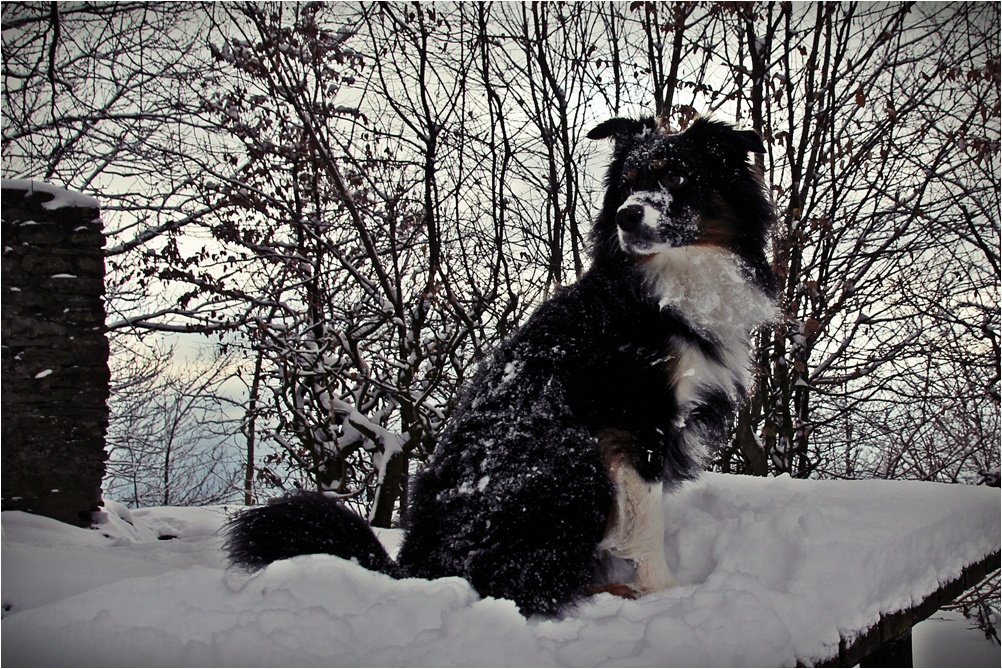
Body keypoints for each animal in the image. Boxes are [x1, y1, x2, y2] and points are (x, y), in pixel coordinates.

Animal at [223, 113, 777, 616]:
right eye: (626, 185)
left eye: (677, 176)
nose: (626, 215)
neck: (669, 283)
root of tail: (416, 568)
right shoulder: (634, 422)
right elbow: (646, 524)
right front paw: (664, 595)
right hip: (567, 461)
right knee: (515, 585)